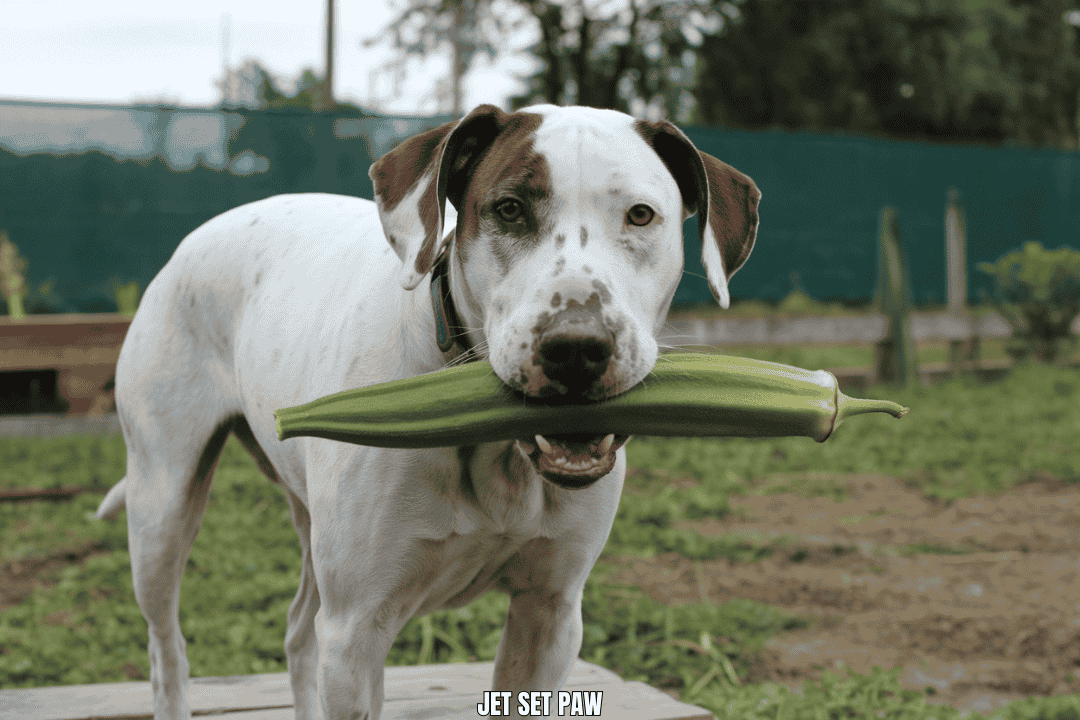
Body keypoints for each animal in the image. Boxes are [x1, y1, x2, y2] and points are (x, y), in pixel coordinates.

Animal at [99, 102, 760, 720]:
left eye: (641, 215)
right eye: (509, 209)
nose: (576, 347)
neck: (495, 445)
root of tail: (197, 236)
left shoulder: (550, 611)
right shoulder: (357, 630)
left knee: (297, 630)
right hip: (162, 507)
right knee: (167, 648)